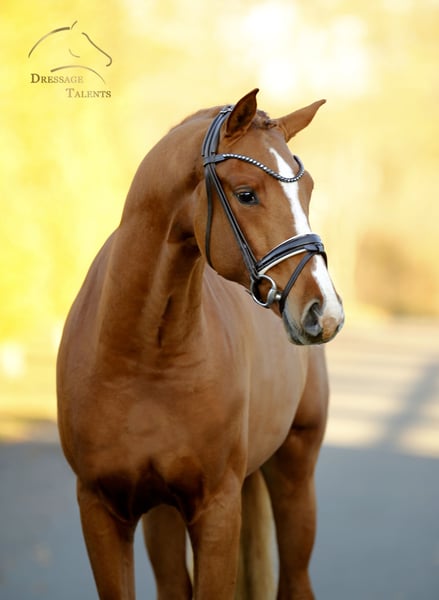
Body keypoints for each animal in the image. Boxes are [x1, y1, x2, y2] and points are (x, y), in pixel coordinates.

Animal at [56, 89, 344, 599]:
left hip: (294, 471)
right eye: (246, 194)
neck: (143, 359)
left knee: (296, 579)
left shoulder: (217, 510)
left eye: (307, 190)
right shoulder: (101, 510)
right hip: (164, 514)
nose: (323, 311)